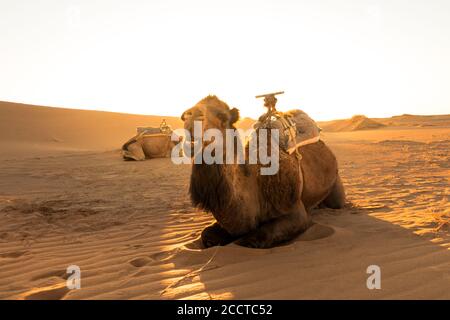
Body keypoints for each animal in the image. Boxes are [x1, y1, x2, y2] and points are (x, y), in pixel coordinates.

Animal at [181, 95, 346, 250]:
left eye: (222, 116)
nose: (188, 115)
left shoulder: (295, 211)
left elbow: (251, 239)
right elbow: (206, 235)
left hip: (336, 187)